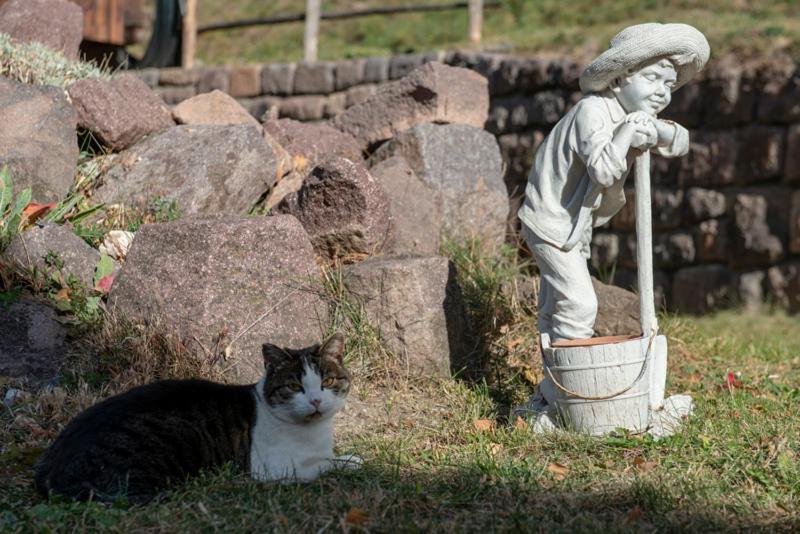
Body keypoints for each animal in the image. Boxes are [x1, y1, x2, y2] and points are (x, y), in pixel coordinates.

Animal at [33, 332, 360, 504]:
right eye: (294, 387)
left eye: (328, 381)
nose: (315, 400)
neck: (314, 432)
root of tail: (48, 467)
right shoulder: (274, 469)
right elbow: (325, 465)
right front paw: (353, 462)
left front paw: (351, 458)